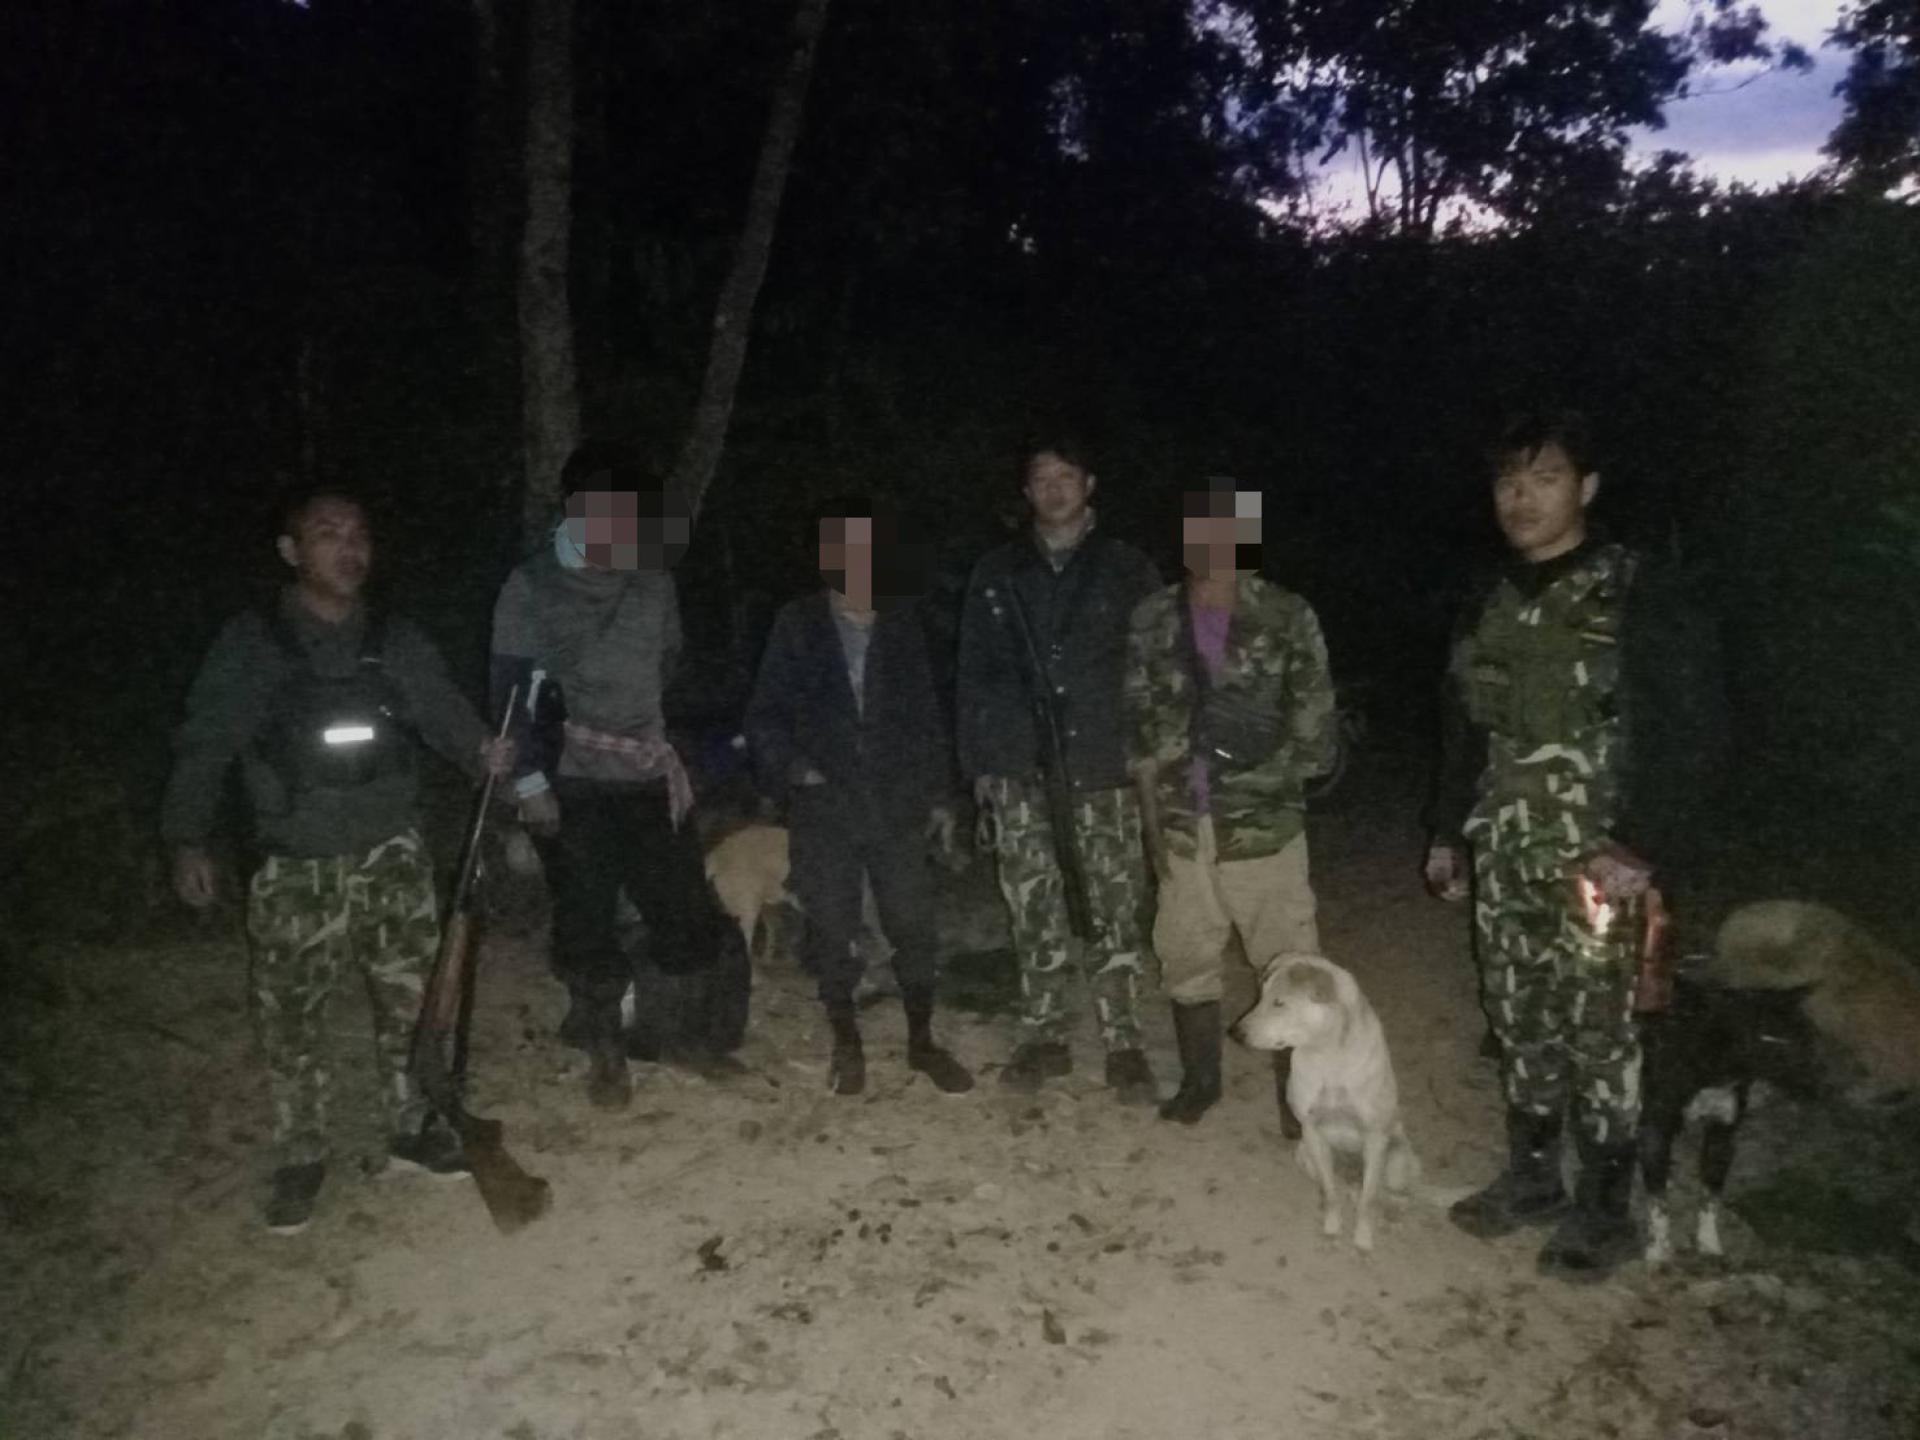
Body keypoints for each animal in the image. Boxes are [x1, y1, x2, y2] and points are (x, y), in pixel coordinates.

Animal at [1232, 953, 1424, 1252]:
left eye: (1279, 1003)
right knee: (1342, 1187)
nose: (1236, 1033)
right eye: (1261, 997)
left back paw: (1391, 1213)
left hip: (1398, 1159)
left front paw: (1363, 1240)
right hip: (1303, 1153)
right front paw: (1332, 1229)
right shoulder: (1311, 1131)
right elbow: (1331, 1191)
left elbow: (1369, 1201)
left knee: (1391, 1194)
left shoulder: (1374, 1137)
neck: (1328, 1056)